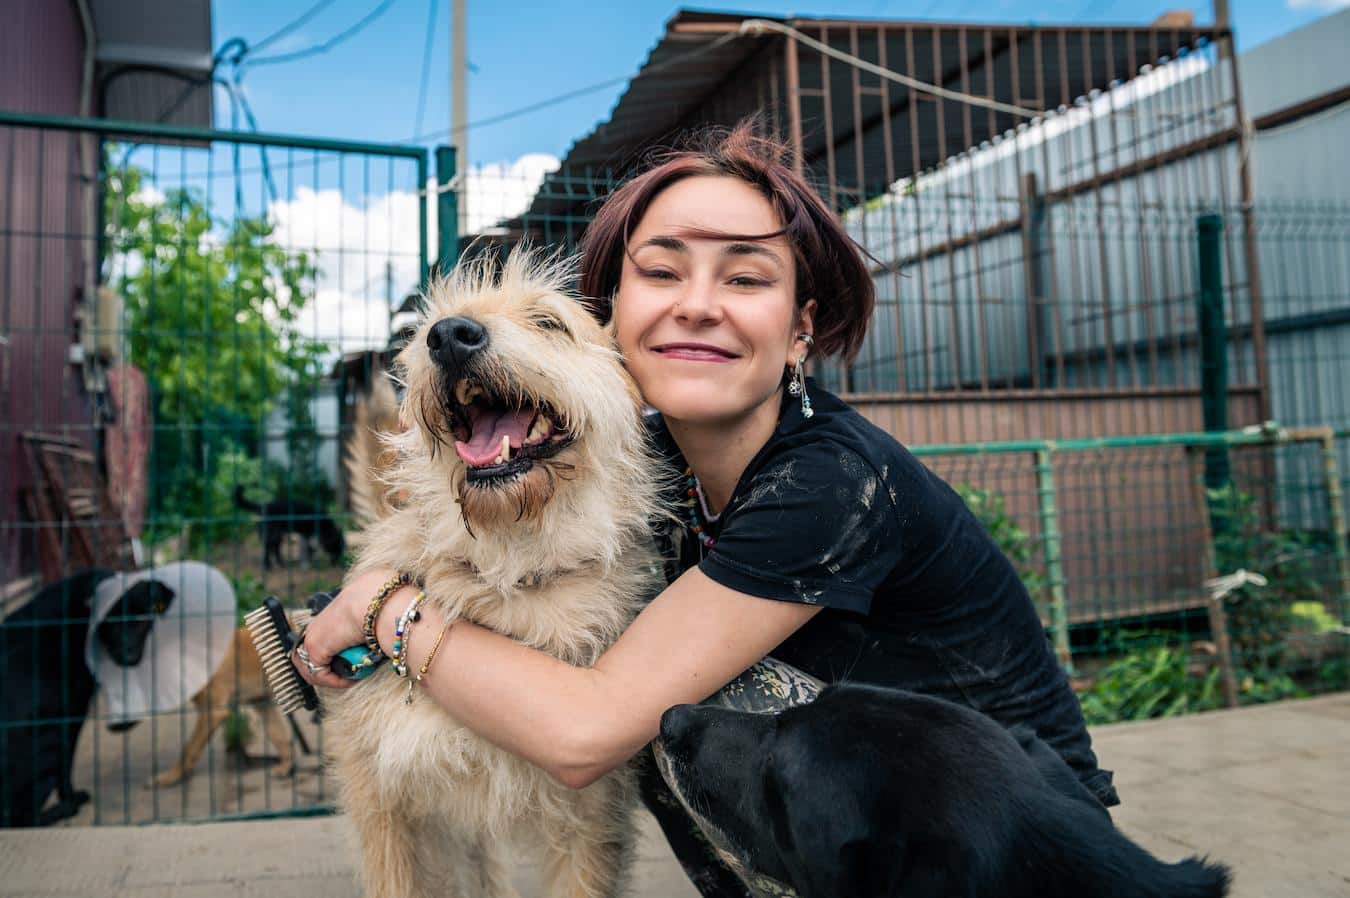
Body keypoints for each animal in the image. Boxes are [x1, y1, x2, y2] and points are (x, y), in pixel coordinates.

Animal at [0, 569, 176, 821]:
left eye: (143, 620)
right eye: (111, 623)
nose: (130, 656)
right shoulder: (72, 711)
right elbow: (66, 765)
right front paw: (70, 798)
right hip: (47, 743)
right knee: (19, 817)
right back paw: (65, 808)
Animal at [326, 248, 664, 896]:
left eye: (550, 322)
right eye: (428, 331)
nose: (449, 336)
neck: (509, 573)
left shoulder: (591, 818)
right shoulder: (383, 805)